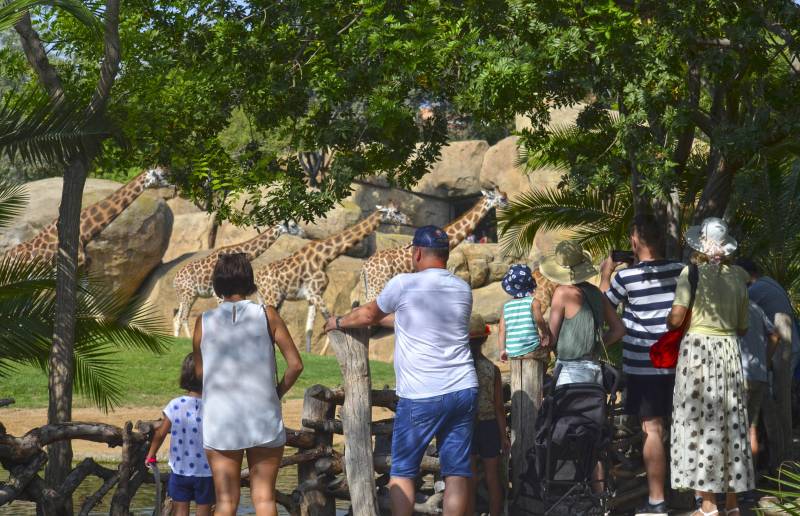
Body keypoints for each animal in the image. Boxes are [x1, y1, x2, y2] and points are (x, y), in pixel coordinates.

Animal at [170, 220, 304, 336]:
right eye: (293, 225)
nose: (303, 233)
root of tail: (175, 280)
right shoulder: (217, 292)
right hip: (189, 294)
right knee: (183, 317)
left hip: (186, 296)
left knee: (177, 317)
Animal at [256, 204, 410, 352]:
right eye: (396, 211)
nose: (407, 220)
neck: (325, 257)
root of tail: (257, 279)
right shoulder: (315, 294)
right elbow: (328, 319)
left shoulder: (312, 296)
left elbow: (309, 330)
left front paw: (309, 355)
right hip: (272, 297)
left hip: (271, 298)